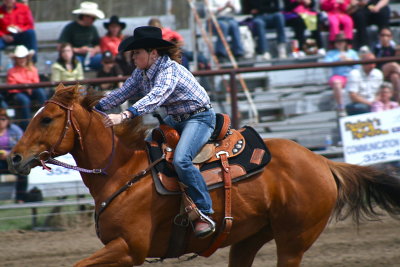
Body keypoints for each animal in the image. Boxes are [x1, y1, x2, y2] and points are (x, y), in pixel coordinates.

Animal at [6, 85, 400, 266]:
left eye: (47, 118)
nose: (14, 157)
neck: (123, 173)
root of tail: (322, 162)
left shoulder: (129, 248)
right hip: (249, 238)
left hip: (293, 241)